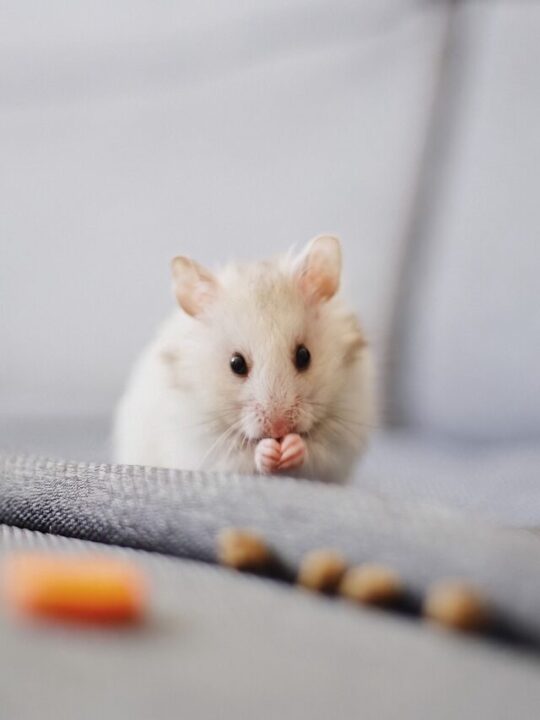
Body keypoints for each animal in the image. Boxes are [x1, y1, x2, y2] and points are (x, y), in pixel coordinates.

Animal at [114, 235, 374, 483]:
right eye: (236, 364)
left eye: (304, 355)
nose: (279, 428)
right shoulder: (205, 444)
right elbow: (244, 456)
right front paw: (268, 451)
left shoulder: (342, 436)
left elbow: (315, 451)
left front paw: (291, 447)